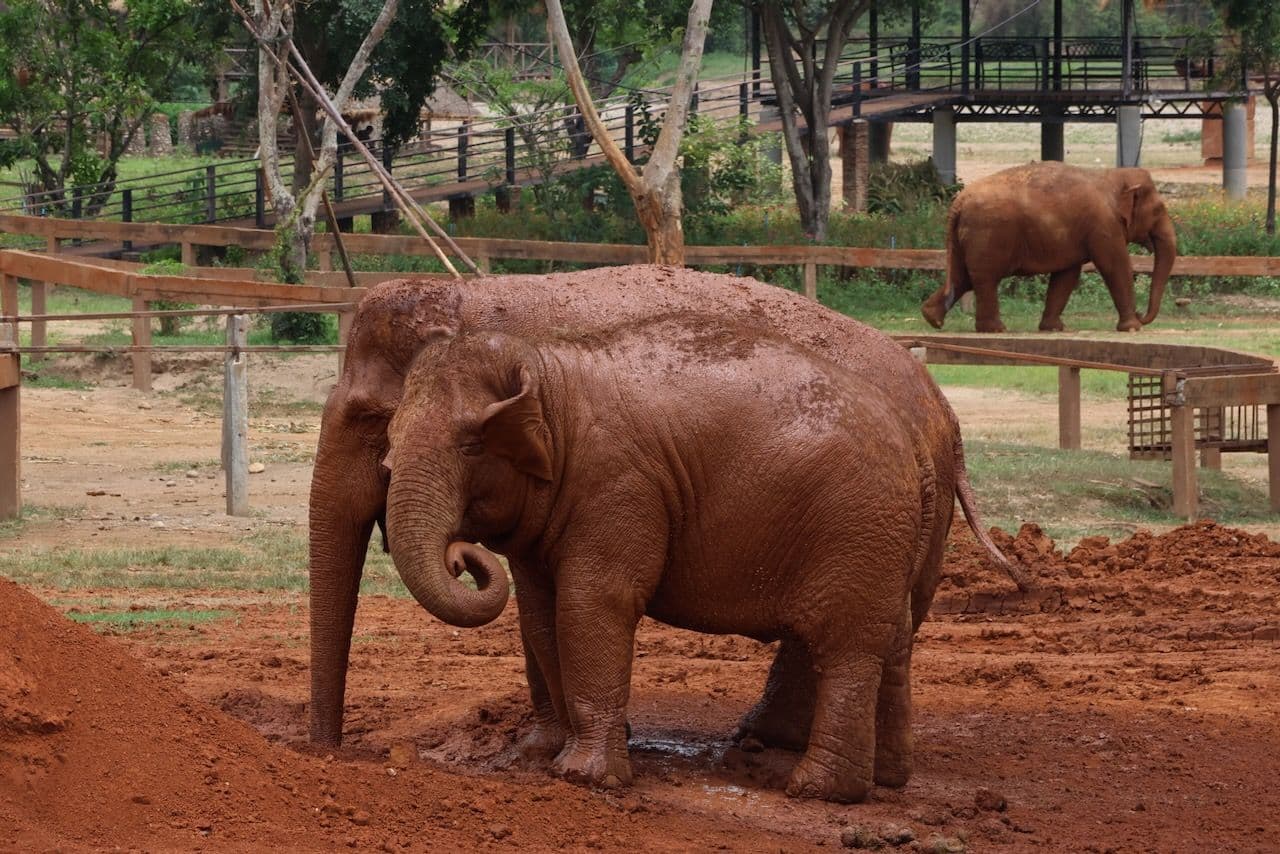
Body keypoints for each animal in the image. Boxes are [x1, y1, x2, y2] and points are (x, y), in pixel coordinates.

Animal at [308, 266, 1028, 760]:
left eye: (374, 423)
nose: (332, 752)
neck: (476, 296)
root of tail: (945, 412)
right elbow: (537, 606)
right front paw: (539, 749)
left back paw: (768, 744)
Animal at [920, 162, 1177, 333]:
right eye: (1158, 210)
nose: (1141, 314)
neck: (1113, 175)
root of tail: (958, 202)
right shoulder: (1104, 225)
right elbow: (1115, 265)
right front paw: (1132, 328)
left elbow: (1067, 275)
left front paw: (1053, 328)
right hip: (987, 233)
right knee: (984, 278)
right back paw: (995, 329)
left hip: (968, 238)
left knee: (963, 277)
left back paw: (932, 319)